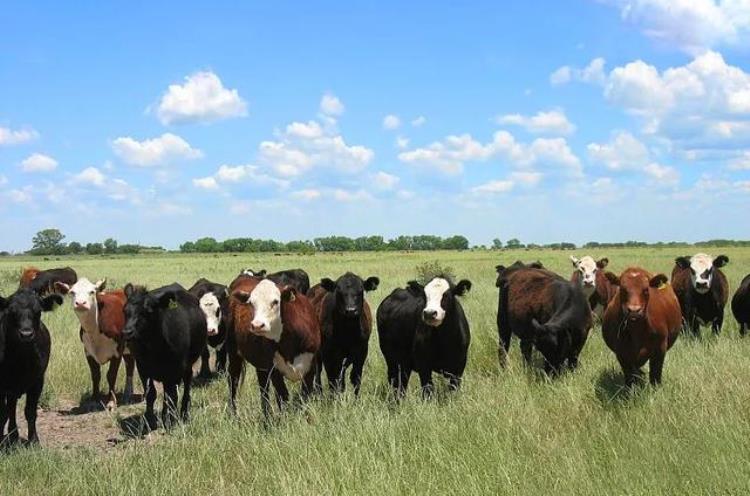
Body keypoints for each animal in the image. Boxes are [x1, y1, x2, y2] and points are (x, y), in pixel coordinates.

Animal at [0, 288, 62, 444]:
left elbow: (30, 411)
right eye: (11, 311)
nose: (26, 334)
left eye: (38, 311)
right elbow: (2, 413)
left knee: (12, 407)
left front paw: (34, 440)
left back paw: (14, 435)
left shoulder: (38, 381)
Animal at [55, 280, 136, 410]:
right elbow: (95, 375)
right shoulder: (88, 351)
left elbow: (111, 375)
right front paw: (94, 400)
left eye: (92, 292)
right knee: (130, 365)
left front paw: (111, 401)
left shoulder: (117, 350)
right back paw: (128, 394)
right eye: (72, 292)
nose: (80, 303)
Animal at [123, 282, 207, 430]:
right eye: (125, 311)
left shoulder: (174, 369)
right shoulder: (142, 367)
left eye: (147, 311)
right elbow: (151, 394)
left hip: (186, 366)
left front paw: (170, 420)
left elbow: (170, 396)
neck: (153, 348)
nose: (127, 332)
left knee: (186, 385)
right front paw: (150, 419)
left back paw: (183, 413)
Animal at [229, 276, 324, 418]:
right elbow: (282, 396)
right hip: (233, 353)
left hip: (260, 365)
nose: (257, 325)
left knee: (263, 390)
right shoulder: (274, 369)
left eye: (275, 302)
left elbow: (305, 396)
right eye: (251, 303)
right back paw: (234, 415)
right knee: (233, 382)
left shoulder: (311, 366)